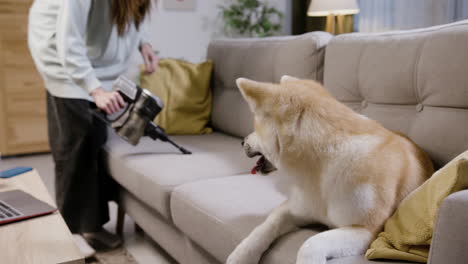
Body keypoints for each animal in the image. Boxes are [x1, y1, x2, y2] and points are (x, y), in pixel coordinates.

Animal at [225, 76, 434, 264]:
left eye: (255, 127)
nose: (242, 141)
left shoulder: (366, 229)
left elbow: (310, 244)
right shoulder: (292, 208)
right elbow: (265, 227)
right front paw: (241, 256)